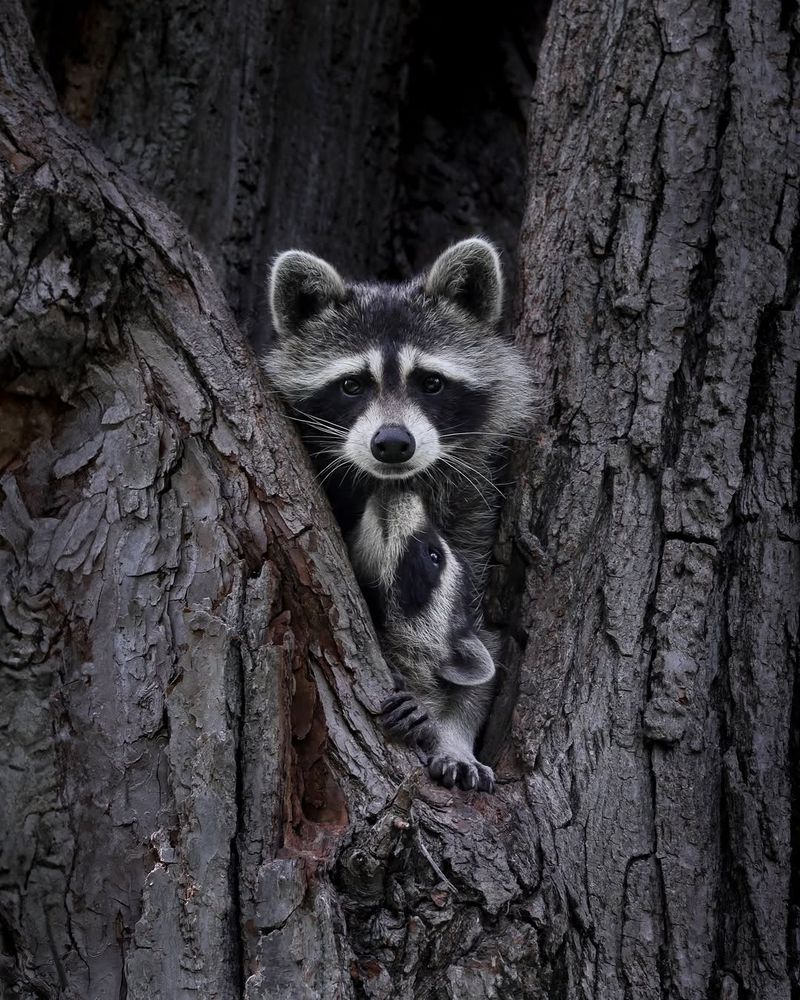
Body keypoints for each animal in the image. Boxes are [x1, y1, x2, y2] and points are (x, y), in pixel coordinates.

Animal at [263, 238, 533, 789]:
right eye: (352, 385)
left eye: (430, 382)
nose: (391, 443)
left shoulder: (472, 512)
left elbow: (477, 635)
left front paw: (454, 732)